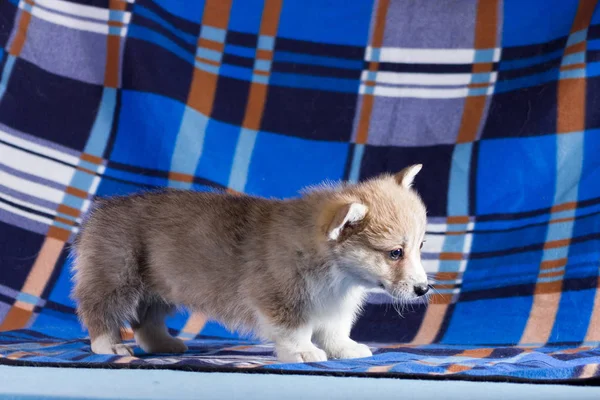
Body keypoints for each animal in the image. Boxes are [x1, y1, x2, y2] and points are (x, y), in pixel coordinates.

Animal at [71, 164, 426, 364]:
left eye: (420, 246)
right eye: (395, 253)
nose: (424, 290)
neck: (338, 272)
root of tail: (98, 211)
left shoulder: (335, 305)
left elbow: (336, 331)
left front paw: (346, 349)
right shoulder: (279, 298)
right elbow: (295, 330)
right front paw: (303, 352)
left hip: (162, 286)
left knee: (147, 321)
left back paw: (163, 344)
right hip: (116, 276)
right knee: (98, 309)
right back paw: (109, 345)